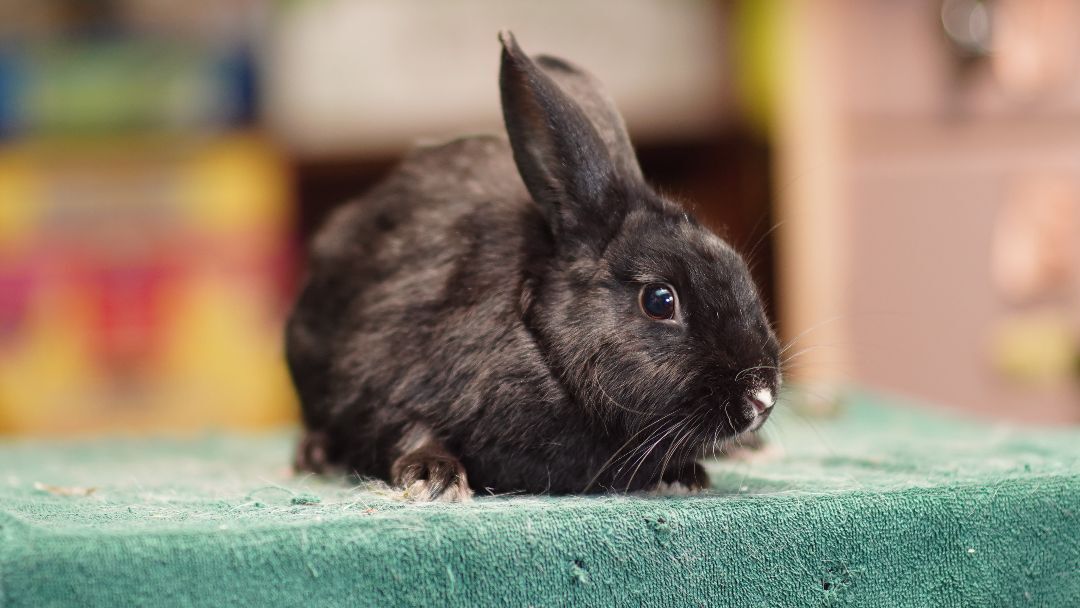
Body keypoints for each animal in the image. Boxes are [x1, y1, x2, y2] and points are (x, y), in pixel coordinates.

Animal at [285, 32, 781, 501]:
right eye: (660, 300)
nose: (761, 396)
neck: (539, 341)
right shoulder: (384, 371)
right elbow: (406, 429)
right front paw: (434, 477)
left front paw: (685, 475)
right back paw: (316, 455)